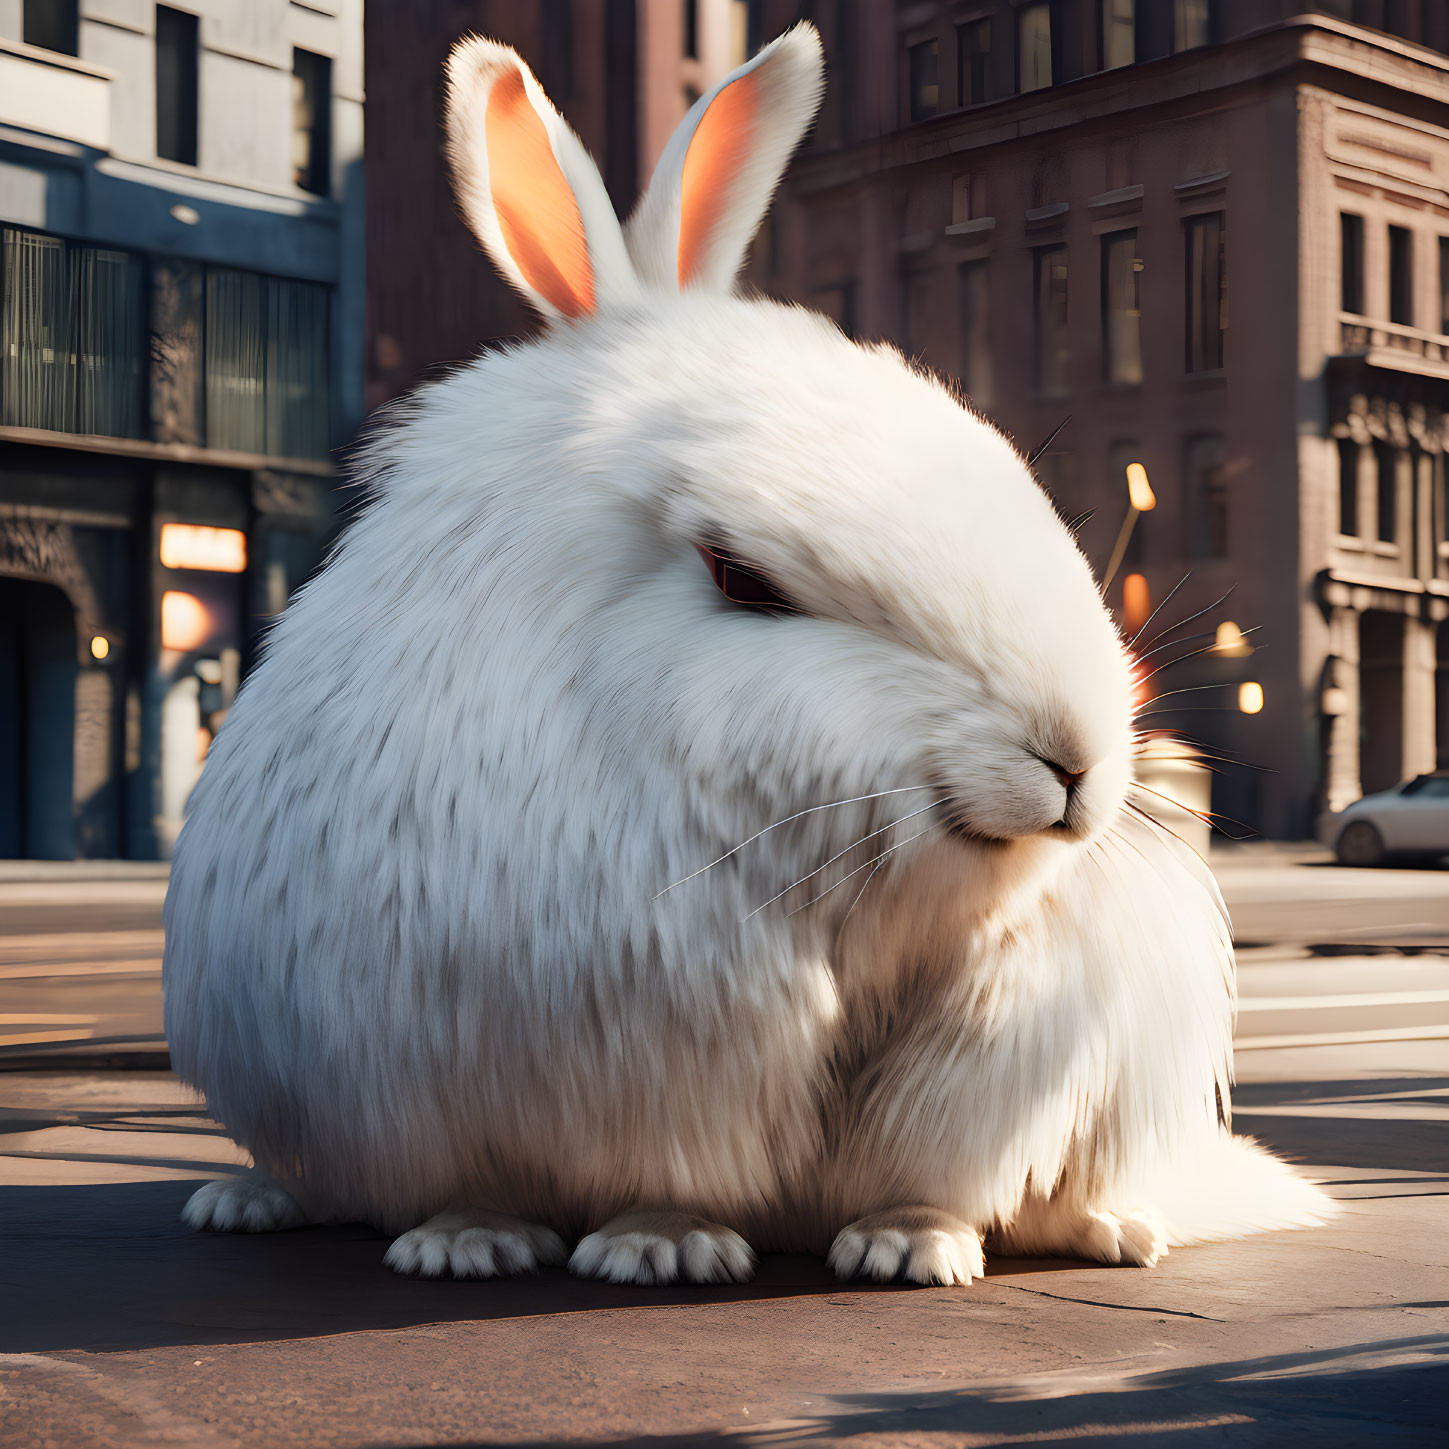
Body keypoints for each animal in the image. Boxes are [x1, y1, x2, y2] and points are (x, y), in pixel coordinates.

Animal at [164, 28, 1327, 1286]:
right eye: (741, 578)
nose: (1071, 758)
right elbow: (618, 1172)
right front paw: (608, 1247)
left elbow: (936, 1144)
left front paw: (910, 1245)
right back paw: (270, 1204)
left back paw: (1088, 1229)